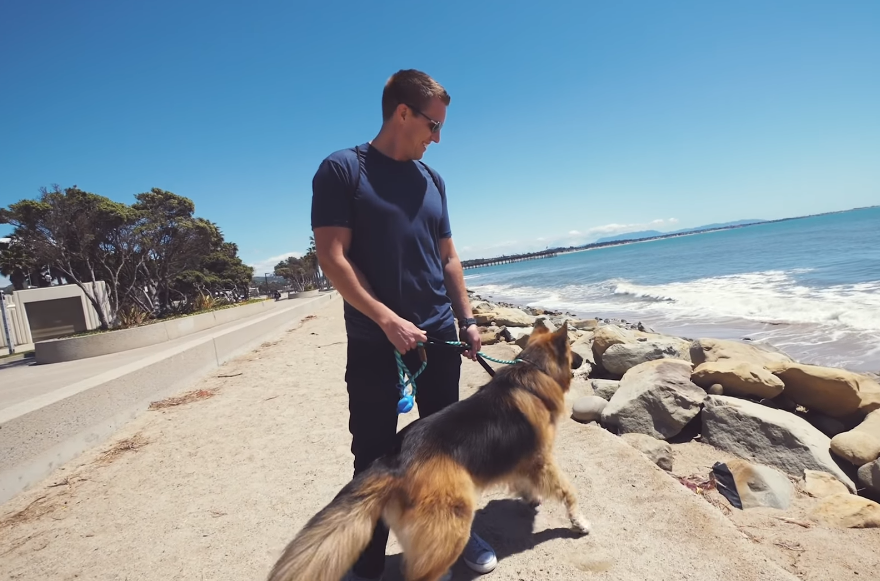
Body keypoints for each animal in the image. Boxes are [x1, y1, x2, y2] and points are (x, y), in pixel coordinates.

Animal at [264, 322, 588, 580]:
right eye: (572, 348)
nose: (584, 360)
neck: (534, 370)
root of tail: (394, 461)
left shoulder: (523, 458)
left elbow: (523, 480)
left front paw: (530, 496)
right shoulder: (543, 459)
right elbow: (567, 490)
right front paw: (577, 521)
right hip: (454, 521)